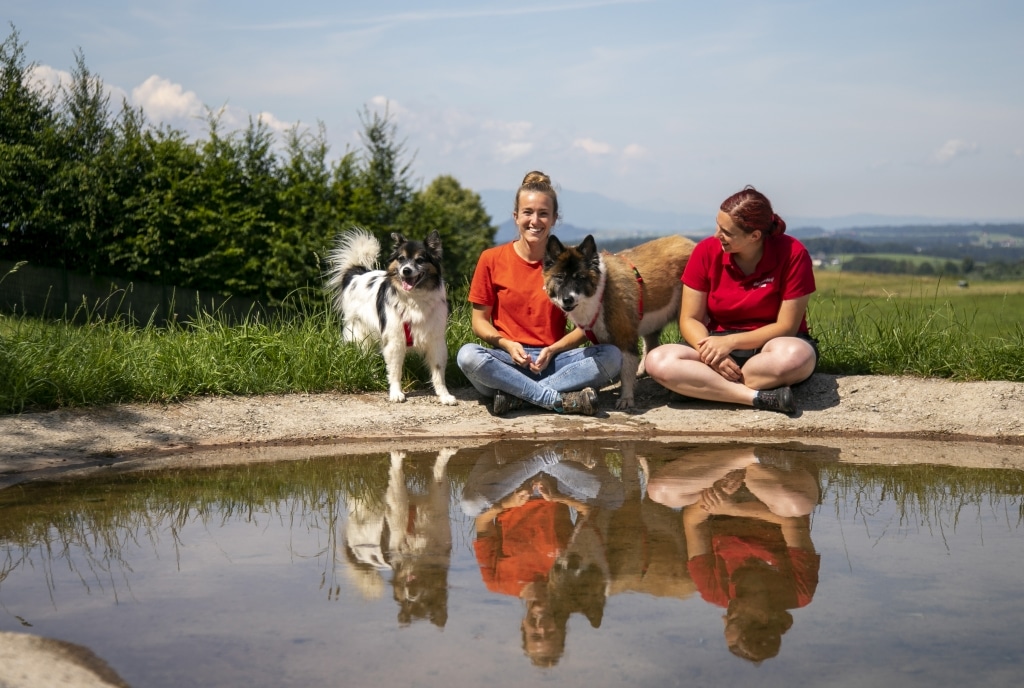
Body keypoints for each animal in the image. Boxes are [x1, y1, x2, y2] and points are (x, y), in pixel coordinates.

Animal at [327, 228, 456, 405]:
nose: (406, 270)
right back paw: (372, 376)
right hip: (361, 335)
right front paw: (396, 393)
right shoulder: (395, 340)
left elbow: (438, 371)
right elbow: (395, 370)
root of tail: (356, 275)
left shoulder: (435, 340)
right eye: (401, 259)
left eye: (420, 260)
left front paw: (444, 395)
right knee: (366, 356)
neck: (415, 299)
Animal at [544, 235, 696, 409]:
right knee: (650, 342)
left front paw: (626, 398)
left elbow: (626, 370)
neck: (601, 291)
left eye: (580, 277)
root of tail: (691, 243)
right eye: (560, 277)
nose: (568, 299)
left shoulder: (625, 335)